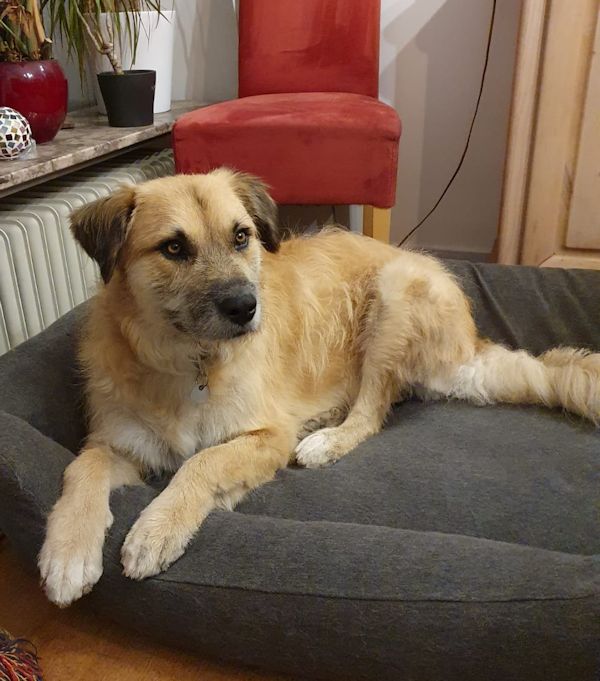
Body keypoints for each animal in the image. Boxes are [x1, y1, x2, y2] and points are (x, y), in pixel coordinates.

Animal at [38, 169, 600, 607]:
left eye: (241, 237)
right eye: (173, 248)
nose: (246, 307)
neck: (189, 363)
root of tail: (470, 342)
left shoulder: (265, 437)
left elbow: (202, 462)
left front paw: (157, 528)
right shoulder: (116, 443)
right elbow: (79, 468)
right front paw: (67, 553)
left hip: (394, 293)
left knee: (372, 411)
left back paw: (326, 439)